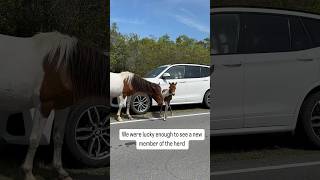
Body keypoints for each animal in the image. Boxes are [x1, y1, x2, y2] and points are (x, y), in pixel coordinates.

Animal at [0, 32, 108, 180]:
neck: (65, 66)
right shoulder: (44, 106)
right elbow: (35, 139)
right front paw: (28, 172)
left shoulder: (63, 107)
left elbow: (58, 138)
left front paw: (61, 172)